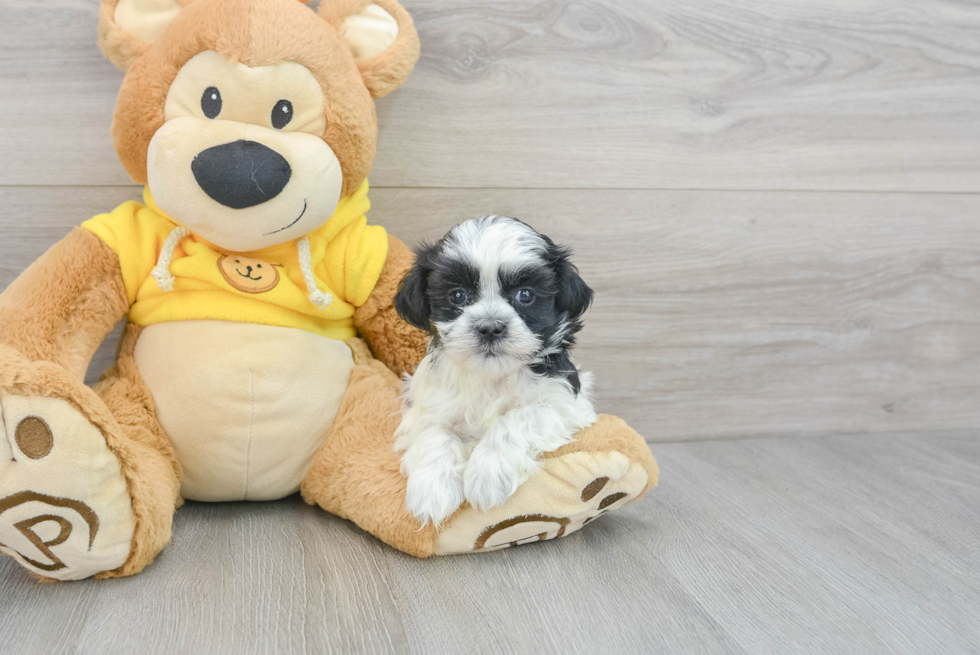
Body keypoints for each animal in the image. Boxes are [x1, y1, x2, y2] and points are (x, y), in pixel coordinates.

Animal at [392, 217, 596, 528]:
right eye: (457, 295)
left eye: (525, 295)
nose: (490, 327)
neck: (490, 376)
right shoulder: (426, 404)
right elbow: (435, 433)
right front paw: (432, 491)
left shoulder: (565, 404)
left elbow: (517, 419)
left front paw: (487, 476)